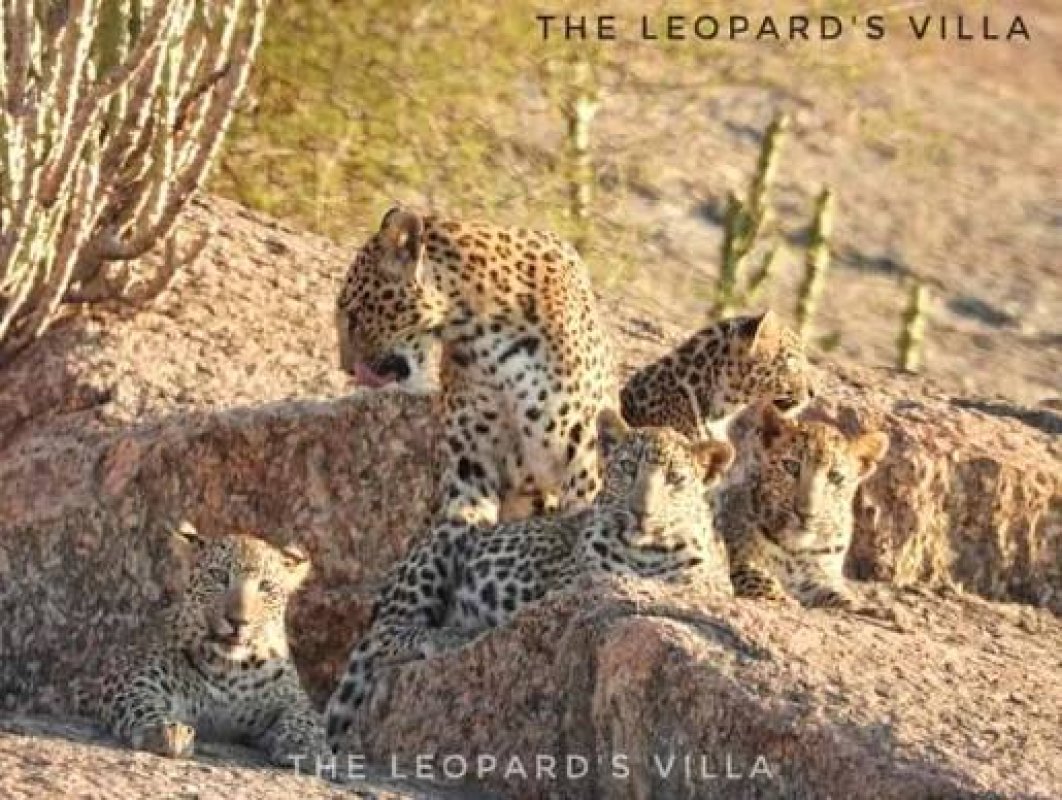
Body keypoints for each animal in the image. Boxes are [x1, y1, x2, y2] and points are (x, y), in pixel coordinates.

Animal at [76, 523, 327, 767]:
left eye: (265, 586)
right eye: (219, 576)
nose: (238, 621)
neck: (230, 669)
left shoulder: (293, 698)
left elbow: (306, 718)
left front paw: (306, 747)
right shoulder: (129, 678)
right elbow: (141, 702)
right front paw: (165, 730)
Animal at [323, 409, 735, 750]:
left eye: (675, 479)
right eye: (627, 468)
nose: (641, 512)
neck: (649, 551)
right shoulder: (570, 586)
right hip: (447, 538)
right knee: (382, 636)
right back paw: (447, 636)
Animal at [716, 400, 889, 609]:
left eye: (835, 477)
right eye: (791, 466)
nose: (806, 514)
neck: (795, 550)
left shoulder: (817, 577)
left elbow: (837, 594)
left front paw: (858, 606)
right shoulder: (738, 558)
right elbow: (760, 578)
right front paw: (783, 598)